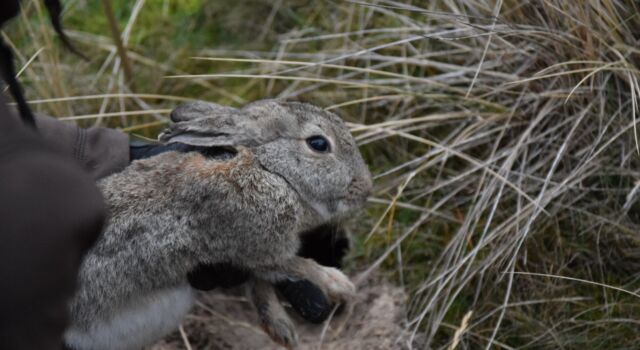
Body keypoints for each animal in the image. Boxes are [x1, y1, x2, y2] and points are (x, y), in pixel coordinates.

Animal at [62, 99, 372, 350]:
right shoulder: (259, 249)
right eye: (318, 144)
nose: (366, 188)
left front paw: (281, 328)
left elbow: (262, 285)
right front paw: (339, 284)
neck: (271, 172)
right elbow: (295, 266)